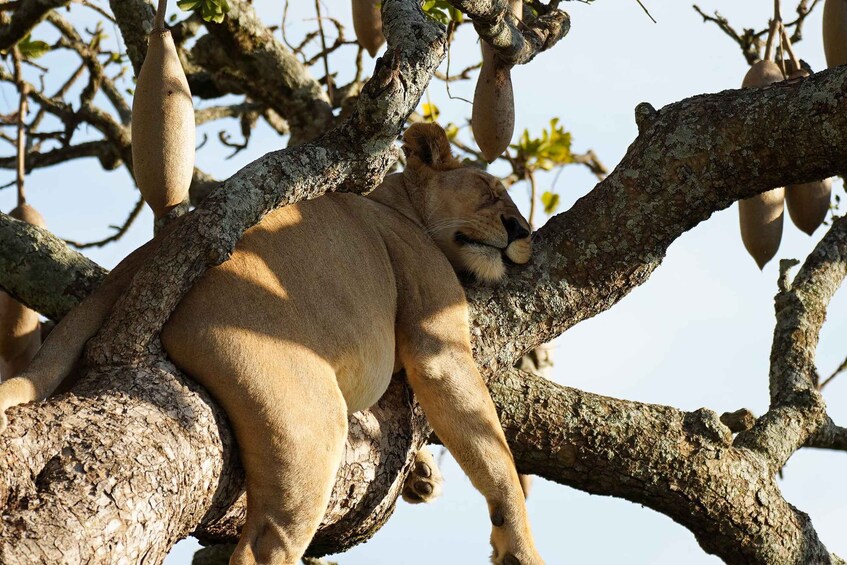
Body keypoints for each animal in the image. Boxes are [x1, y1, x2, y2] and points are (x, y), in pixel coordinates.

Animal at [0, 123, 542, 565]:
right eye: (490, 191)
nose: (523, 230)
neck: (398, 203)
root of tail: (138, 260)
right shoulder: (437, 330)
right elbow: (492, 454)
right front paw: (519, 547)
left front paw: (423, 475)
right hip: (309, 419)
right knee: (263, 546)